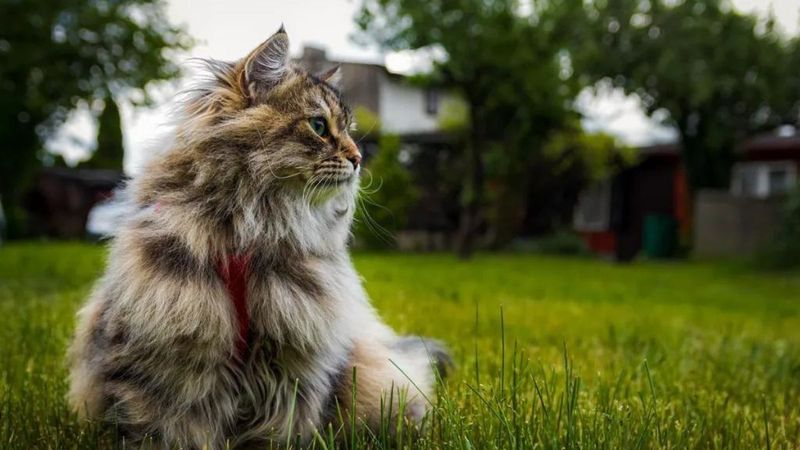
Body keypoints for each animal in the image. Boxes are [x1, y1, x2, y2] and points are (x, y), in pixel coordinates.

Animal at [68, 28, 450, 450]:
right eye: (319, 126)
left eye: (349, 130)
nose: (358, 158)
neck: (251, 228)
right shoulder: (166, 364)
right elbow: (166, 426)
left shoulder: (291, 369)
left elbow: (280, 429)